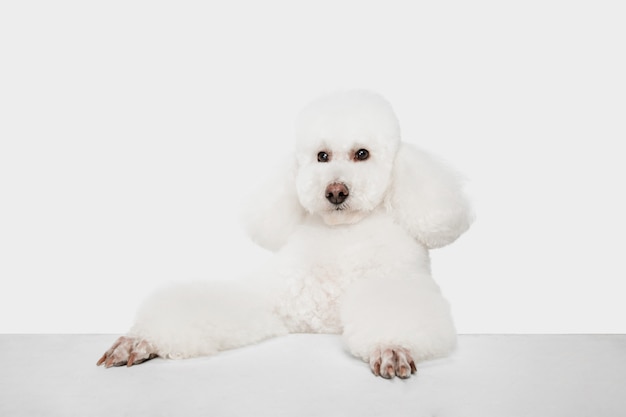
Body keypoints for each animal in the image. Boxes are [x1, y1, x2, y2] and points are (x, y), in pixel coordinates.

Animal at [95, 89, 470, 378]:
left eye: (362, 154)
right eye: (321, 156)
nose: (335, 192)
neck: (341, 236)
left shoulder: (396, 283)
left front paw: (391, 347)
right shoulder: (273, 306)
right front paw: (144, 340)